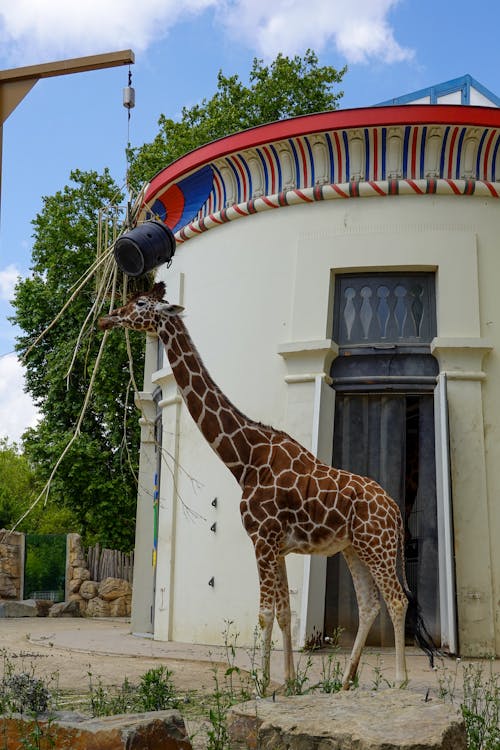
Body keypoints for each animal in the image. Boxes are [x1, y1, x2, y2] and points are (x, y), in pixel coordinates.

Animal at [99, 282, 424, 692]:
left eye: (141, 303)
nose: (107, 317)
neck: (245, 459)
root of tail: (395, 509)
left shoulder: (261, 539)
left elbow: (266, 613)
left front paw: (261, 684)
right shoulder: (279, 546)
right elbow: (285, 612)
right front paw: (289, 682)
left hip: (377, 545)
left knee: (397, 599)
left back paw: (400, 680)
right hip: (355, 548)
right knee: (369, 603)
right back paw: (347, 679)